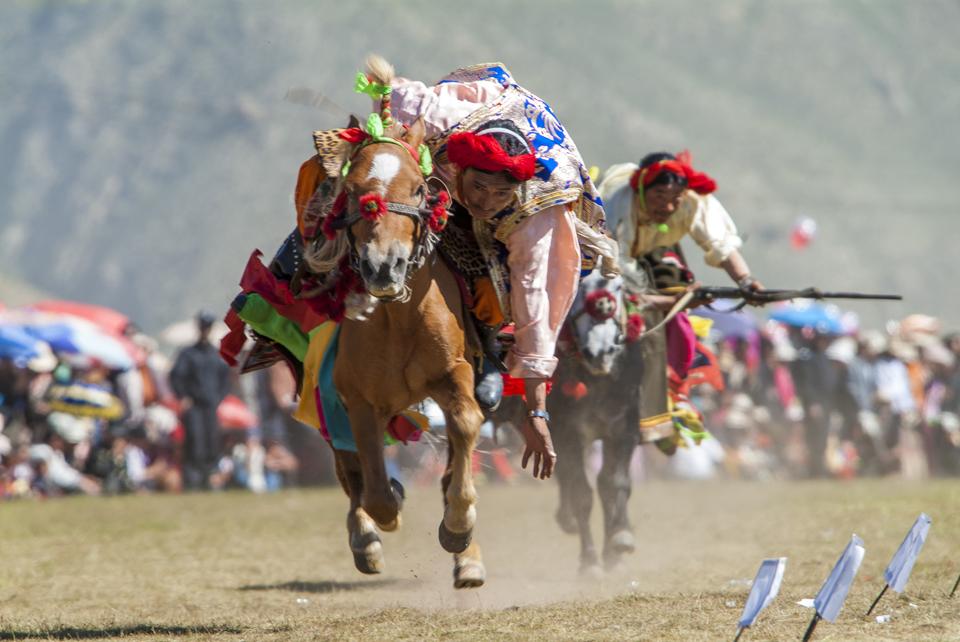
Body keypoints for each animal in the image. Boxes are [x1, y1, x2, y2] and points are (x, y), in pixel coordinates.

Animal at [311, 57, 485, 589]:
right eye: (353, 191)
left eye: (419, 188)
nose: (383, 267)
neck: (399, 320)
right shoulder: (357, 400)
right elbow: (375, 492)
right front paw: (381, 519)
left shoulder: (455, 374)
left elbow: (465, 428)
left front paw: (459, 528)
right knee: (351, 474)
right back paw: (365, 538)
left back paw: (467, 556)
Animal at [550, 269, 646, 576]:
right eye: (577, 289)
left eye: (619, 288)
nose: (599, 352)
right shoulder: (566, 431)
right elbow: (582, 493)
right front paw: (590, 562)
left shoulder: (624, 428)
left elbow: (614, 484)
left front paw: (618, 543)